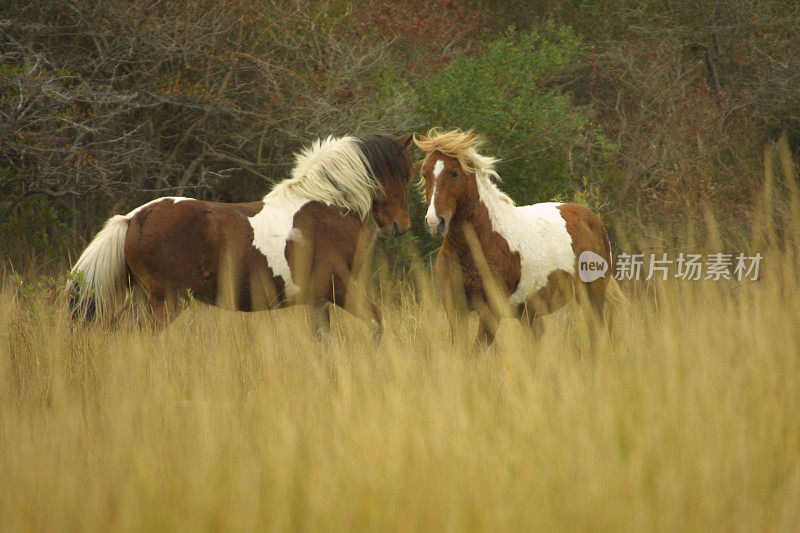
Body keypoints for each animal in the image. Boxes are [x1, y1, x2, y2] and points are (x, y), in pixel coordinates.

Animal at [67, 133, 412, 340]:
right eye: (404, 173)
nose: (401, 226)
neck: (326, 205)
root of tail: (133, 218)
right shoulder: (337, 287)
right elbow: (375, 321)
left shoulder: (317, 298)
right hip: (167, 302)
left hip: (143, 298)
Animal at [416, 127, 628, 348]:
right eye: (424, 174)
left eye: (454, 173)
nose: (435, 221)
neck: (479, 241)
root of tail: (593, 219)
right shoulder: (454, 306)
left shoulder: (491, 309)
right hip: (529, 313)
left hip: (593, 297)